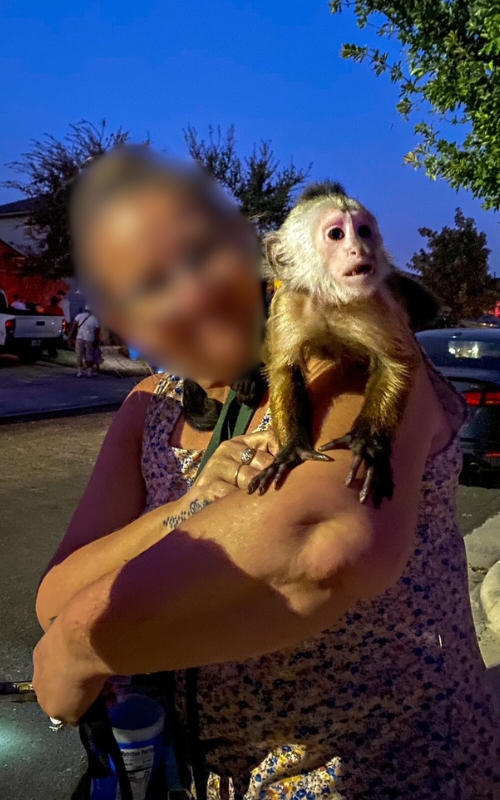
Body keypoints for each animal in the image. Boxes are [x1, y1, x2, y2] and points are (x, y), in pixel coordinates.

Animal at [248, 181, 440, 506]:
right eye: (337, 234)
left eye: (363, 231)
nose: (361, 249)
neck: (330, 298)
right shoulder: (288, 301)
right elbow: (284, 370)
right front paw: (290, 451)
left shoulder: (376, 300)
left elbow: (396, 363)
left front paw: (368, 443)